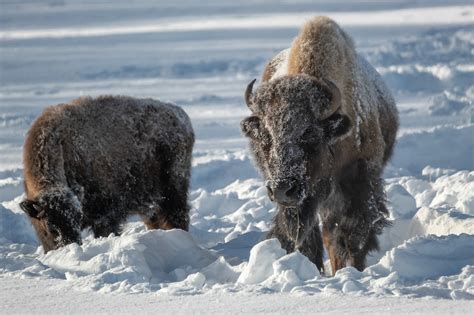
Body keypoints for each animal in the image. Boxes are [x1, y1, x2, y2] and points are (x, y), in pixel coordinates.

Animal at [19, 95, 194, 253]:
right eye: (50, 227)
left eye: (76, 221)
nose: (70, 248)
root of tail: (182, 117)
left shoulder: (105, 217)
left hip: (174, 189)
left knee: (177, 215)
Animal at [243, 16, 398, 276]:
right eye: (266, 135)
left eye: (309, 133)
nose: (283, 189)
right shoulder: (300, 202)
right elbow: (306, 237)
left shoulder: (358, 183)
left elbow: (347, 235)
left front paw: (348, 270)